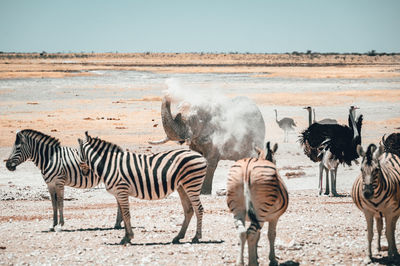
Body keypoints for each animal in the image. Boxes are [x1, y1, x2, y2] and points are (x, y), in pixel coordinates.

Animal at [77, 132, 208, 244]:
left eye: (77, 153)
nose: (84, 173)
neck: (110, 165)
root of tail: (200, 156)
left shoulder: (122, 190)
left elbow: (126, 214)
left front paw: (128, 237)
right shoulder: (119, 193)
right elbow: (123, 214)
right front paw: (127, 236)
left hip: (192, 184)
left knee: (199, 209)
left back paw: (196, 237)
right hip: (182, 186)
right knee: (189, 210)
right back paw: (178, 237)